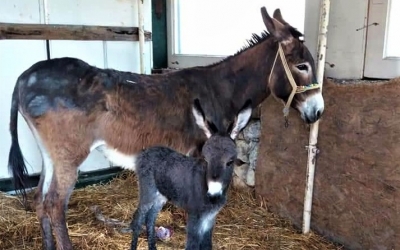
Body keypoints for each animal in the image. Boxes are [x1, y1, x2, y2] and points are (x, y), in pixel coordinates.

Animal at [130, 98, 252, 249]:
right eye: (205, 159)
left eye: (230, 162)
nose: (213, 194)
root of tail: (146, 151)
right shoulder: (195, 217)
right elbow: (192, 245)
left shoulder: (210, 218)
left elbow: (207, 245)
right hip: (148, 191)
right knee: (138, 218)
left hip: (161, 195)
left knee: (150, 218)